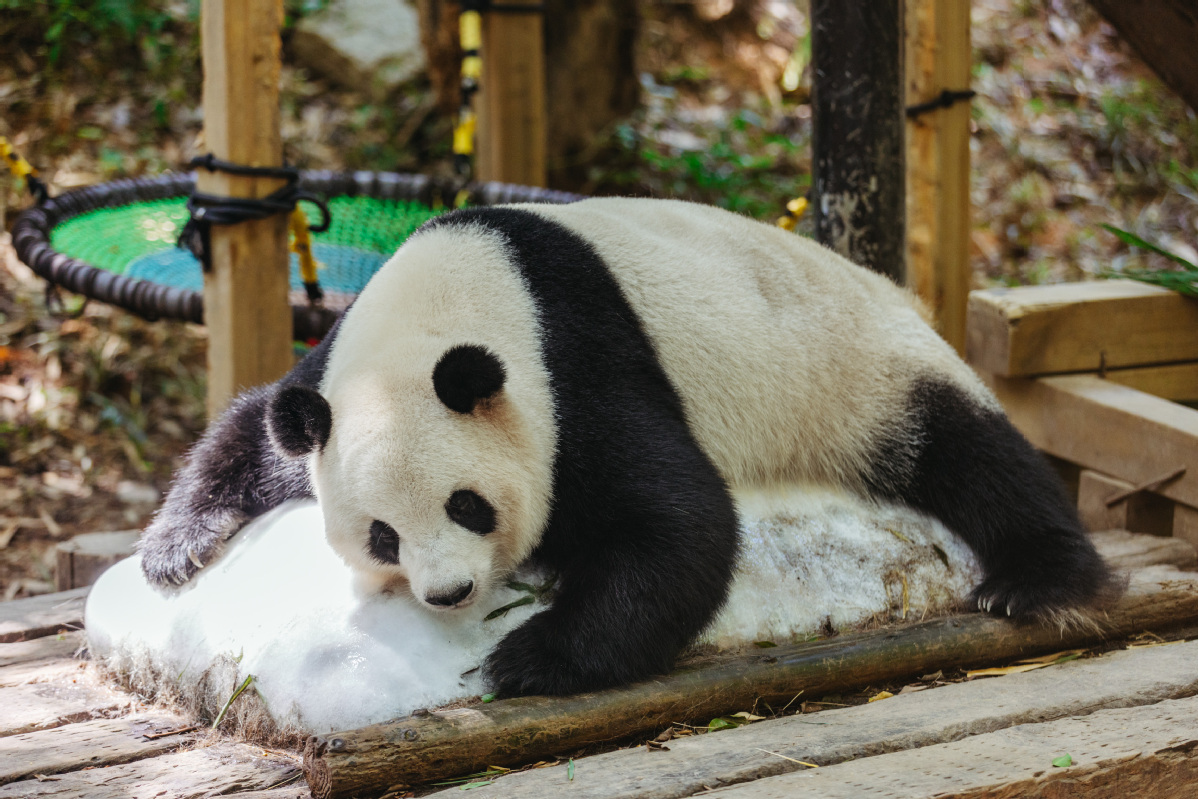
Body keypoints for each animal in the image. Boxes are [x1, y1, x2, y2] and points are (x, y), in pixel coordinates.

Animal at [138, 197, 1115, 697]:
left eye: (467, 504)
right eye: (382, 534)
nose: (448, 592)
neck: (463, 279)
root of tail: (898, 292)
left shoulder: (571, 363)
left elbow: (677, 523)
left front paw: (526, 657)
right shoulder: (339, 380)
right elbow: (261, 423)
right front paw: (174, 547)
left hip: (861, 369)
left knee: (972, 453)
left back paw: (1036, 579)